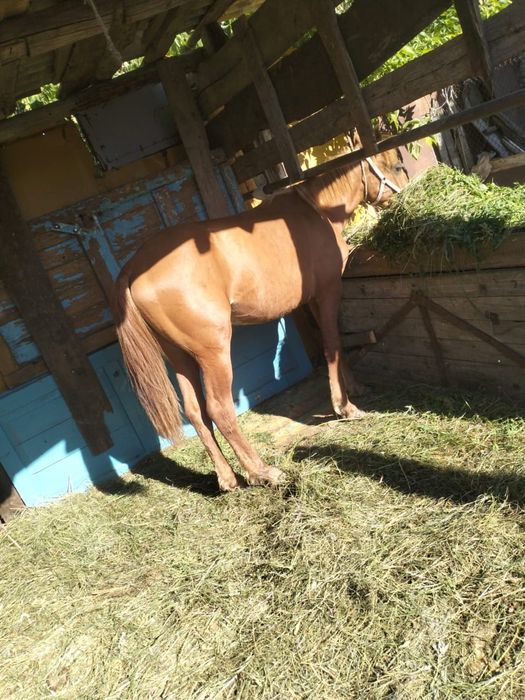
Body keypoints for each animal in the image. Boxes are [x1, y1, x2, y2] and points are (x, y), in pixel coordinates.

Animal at [114, 150, 407, 491]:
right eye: (397, 165)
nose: (405, 192)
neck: (317, 211)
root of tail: (135, 266)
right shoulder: (328, 291)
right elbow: (333, 345)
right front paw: (344, 406)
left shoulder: (311, 301)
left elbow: (330, 342)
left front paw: (356, 388)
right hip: (213, 354)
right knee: (219, 409)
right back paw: (262, 472)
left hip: (181, 357)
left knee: (196, 412)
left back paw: (228, 478)